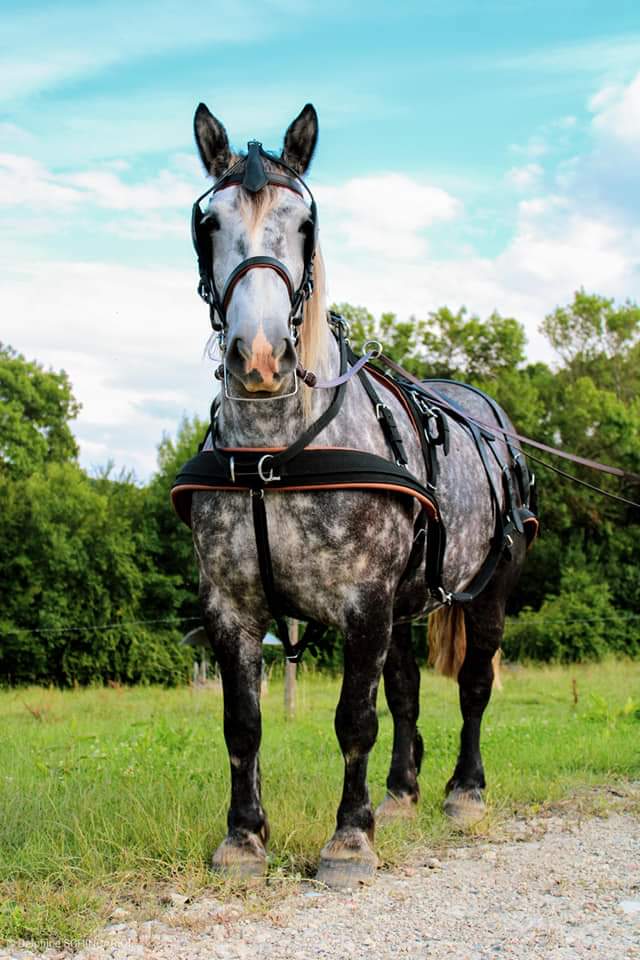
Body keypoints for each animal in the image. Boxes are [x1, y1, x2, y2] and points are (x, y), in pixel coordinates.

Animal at [175, 102, 535, 888]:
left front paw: (348, 838)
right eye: (207, 223)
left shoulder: (363, 601)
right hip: (403, 603)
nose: (259, 358)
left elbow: (354, 719)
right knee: (404, 689)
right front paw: (243, 837)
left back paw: (464, 793)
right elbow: (243, 723)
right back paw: (400, 795)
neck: (273, 456)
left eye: (305, 224)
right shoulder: (232, 605)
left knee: (472, 685)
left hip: (487, 587)